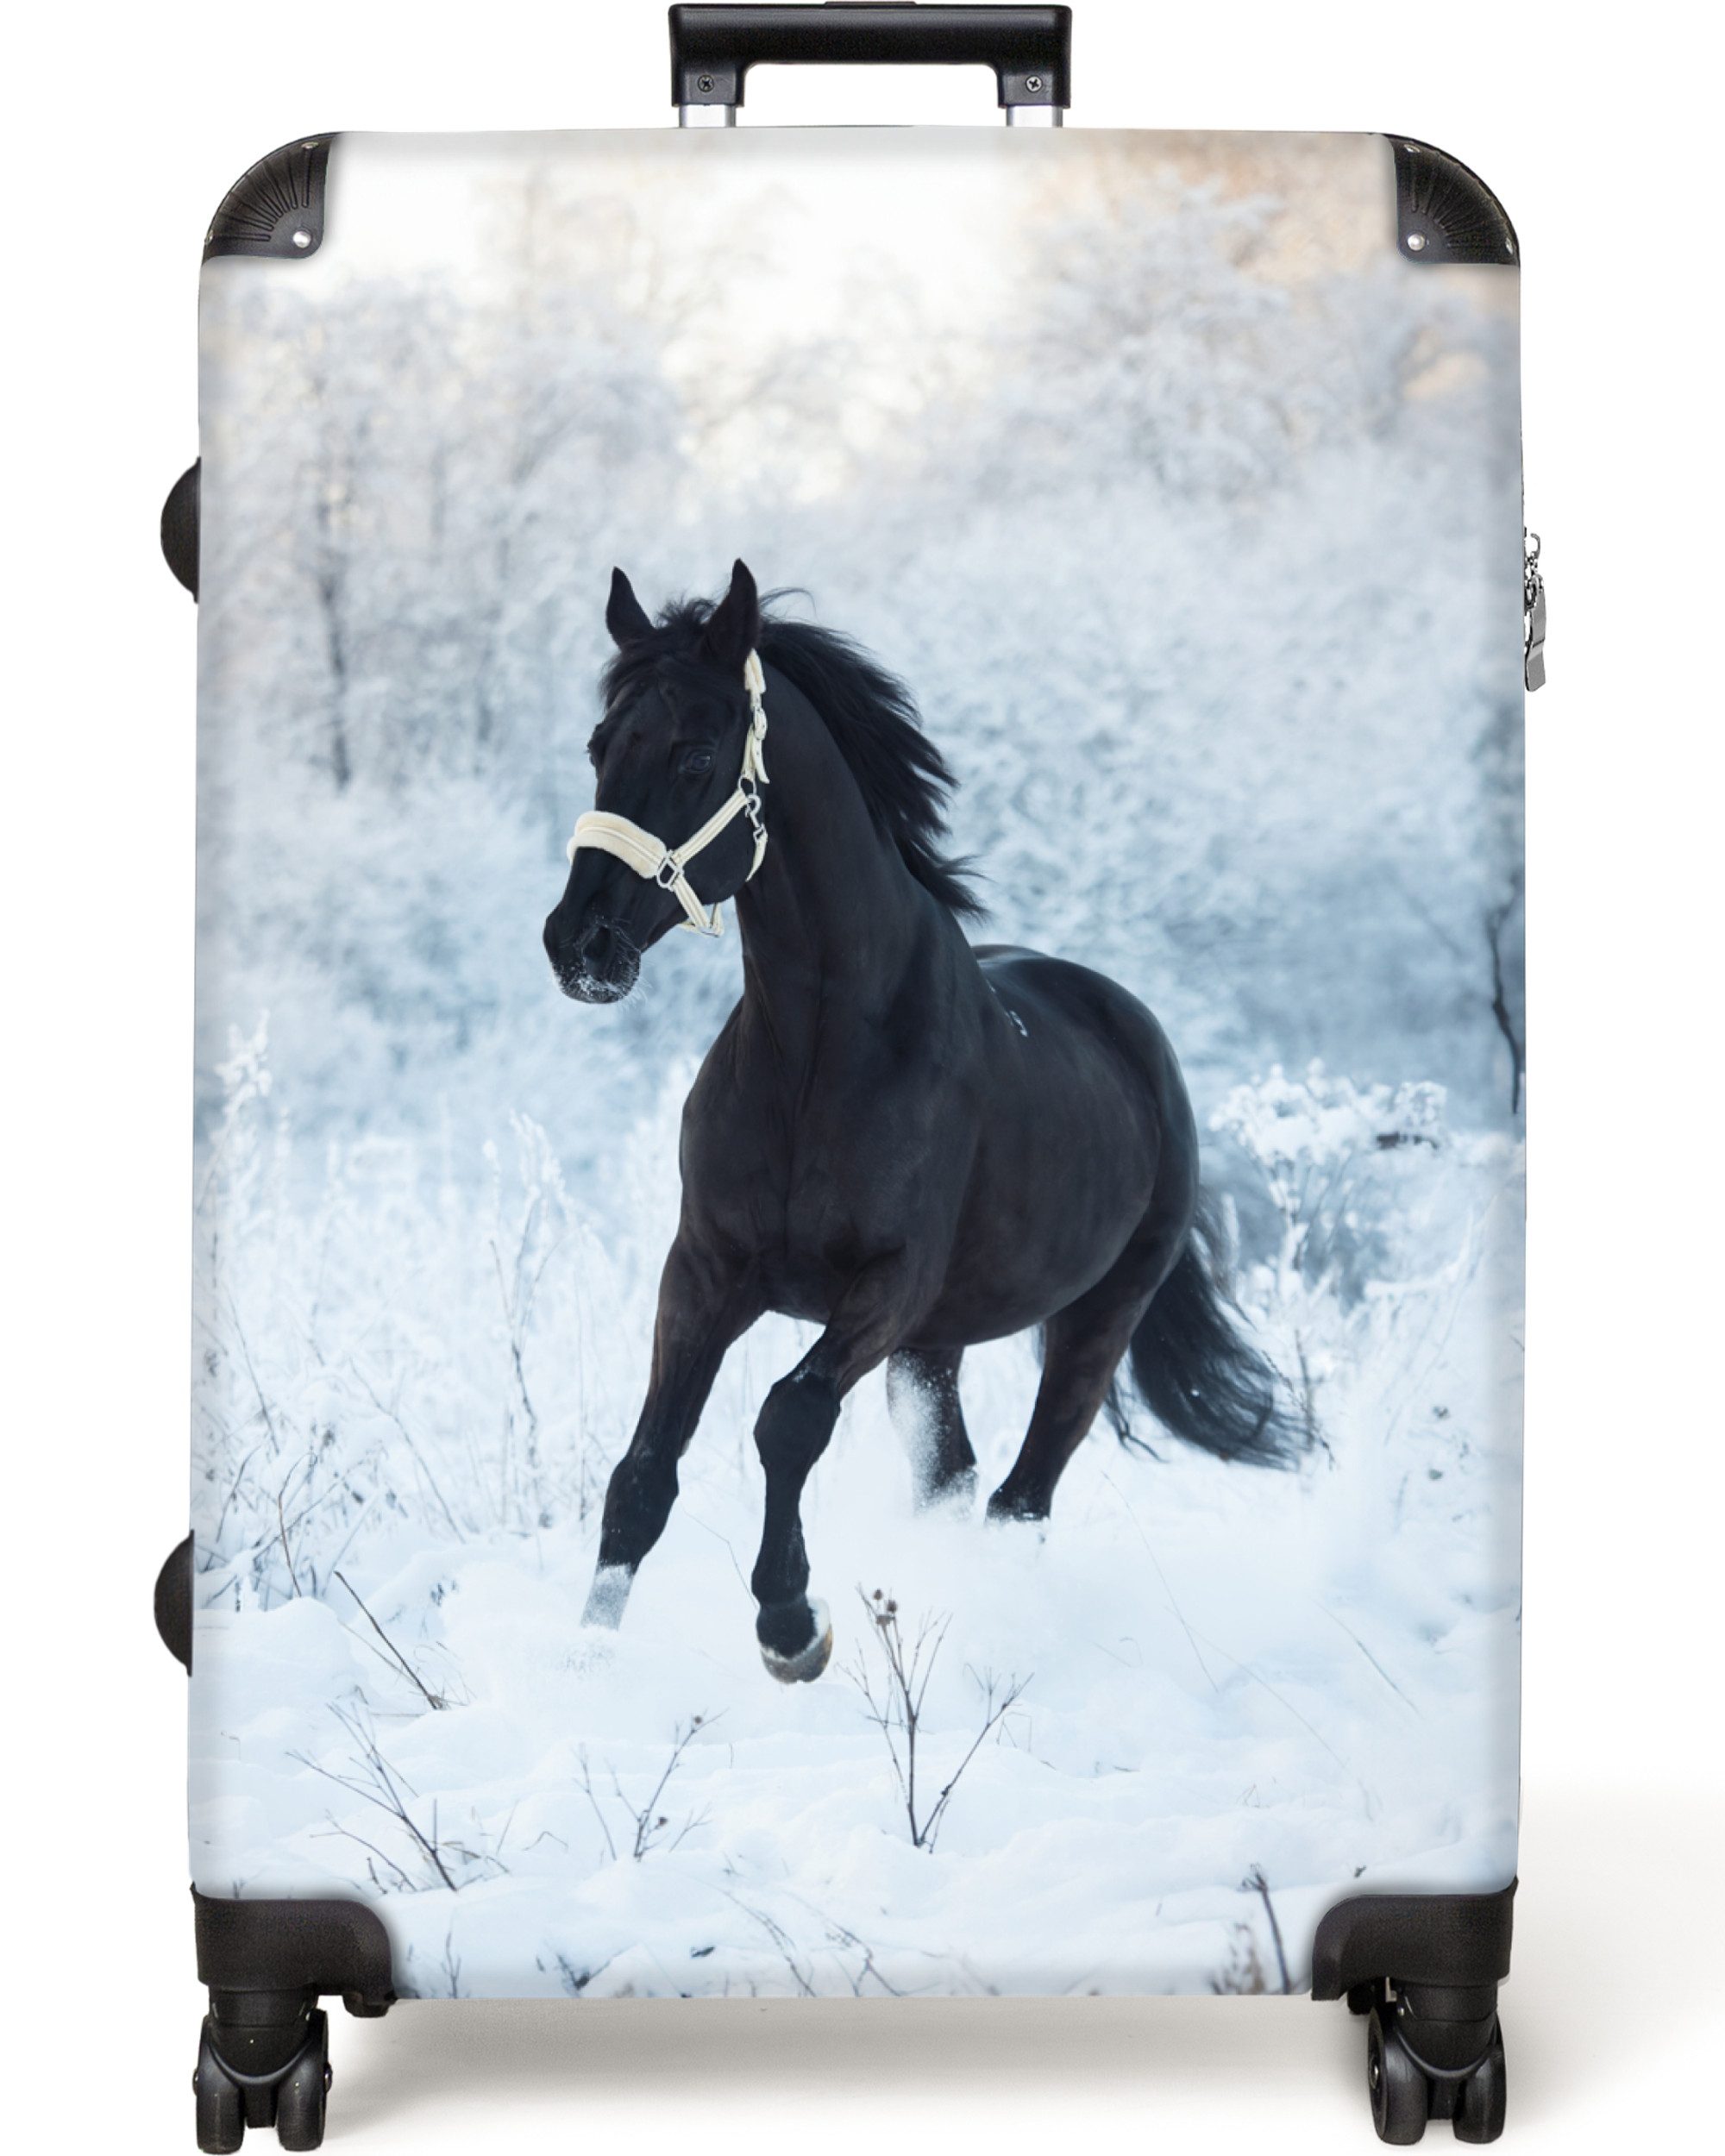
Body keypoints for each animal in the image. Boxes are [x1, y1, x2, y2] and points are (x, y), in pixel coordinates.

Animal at [543, 561, 1305, 1683]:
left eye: (692, 753)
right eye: (601, 746)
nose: (578, 943)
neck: (820, 1055)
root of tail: (1136, 1035)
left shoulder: (885, 1285)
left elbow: (788, 1418)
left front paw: (791, 1625)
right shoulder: (706, 1272)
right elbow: (643, 1471)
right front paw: (583, 1662)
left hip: (1091, 1322)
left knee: (1020, 1498)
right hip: (934, 1349)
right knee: (957, 1479)